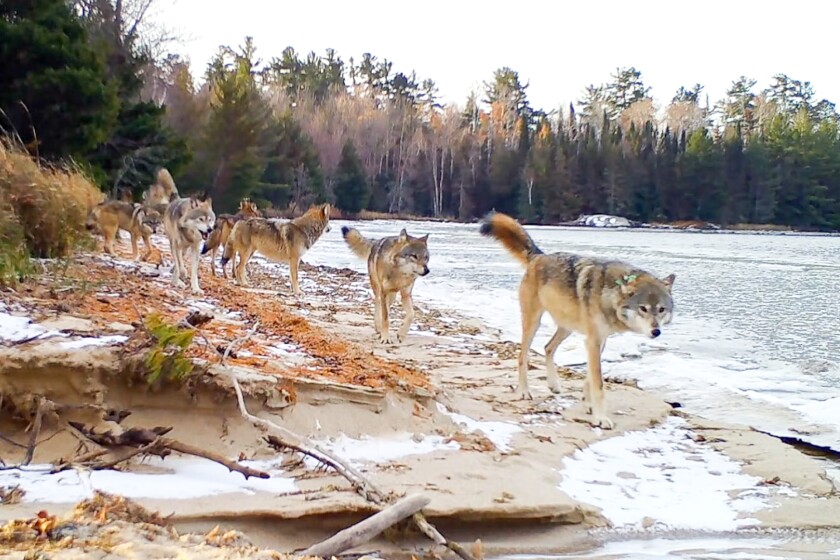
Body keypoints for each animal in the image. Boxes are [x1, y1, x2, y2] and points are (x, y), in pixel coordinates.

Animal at [479, 212, 675, 429]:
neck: (609, 295)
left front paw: (588, 405)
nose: (656, 331)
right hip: (534, 323)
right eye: (643, 309)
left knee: (547, 347)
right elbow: (598, 383)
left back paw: (554, 385)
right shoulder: (593, 340)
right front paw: (600, 418)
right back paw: (524, 392)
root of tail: (539, 256)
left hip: (567, 327)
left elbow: (589, 378)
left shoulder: (599, 341)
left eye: (661, 310)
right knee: (523, 357)